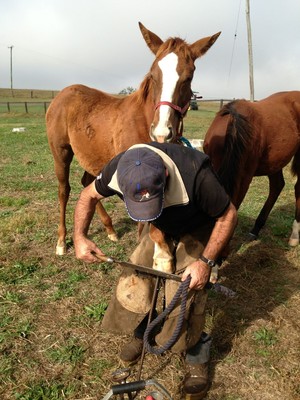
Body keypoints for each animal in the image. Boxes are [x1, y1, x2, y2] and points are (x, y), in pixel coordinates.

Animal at [46, 21, 220, 255]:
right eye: (153, 74)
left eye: (189, 77)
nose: (162, 132)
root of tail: (62, 94)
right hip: (61, 153)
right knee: (64, 190)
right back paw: (62, 241)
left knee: (87, 183)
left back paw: (108, 229)